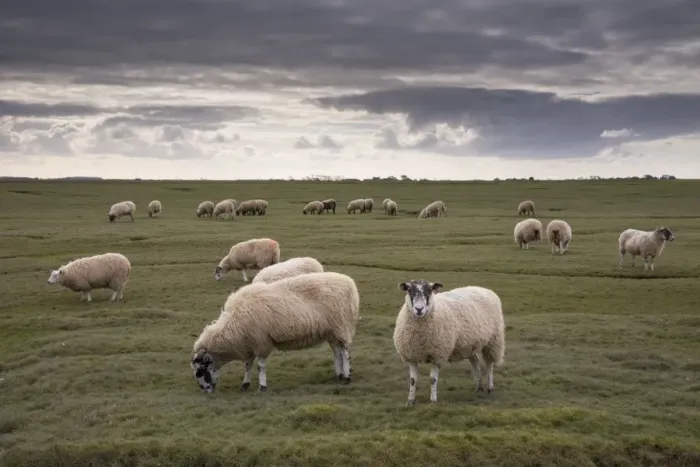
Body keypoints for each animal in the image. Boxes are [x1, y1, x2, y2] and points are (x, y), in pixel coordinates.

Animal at [191, 271, 360, 393]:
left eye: (200, 370)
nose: (205, 390)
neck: (233, 324)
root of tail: (349, 282)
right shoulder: (250, 345)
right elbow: (248, 365)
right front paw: (245, 384)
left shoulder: (261, 342)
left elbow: (260, 366)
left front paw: (262, 387)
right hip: (332, 331)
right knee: (337, 351)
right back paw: (339, 375)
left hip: (342, 325)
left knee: (345, 352)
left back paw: (347, 377)